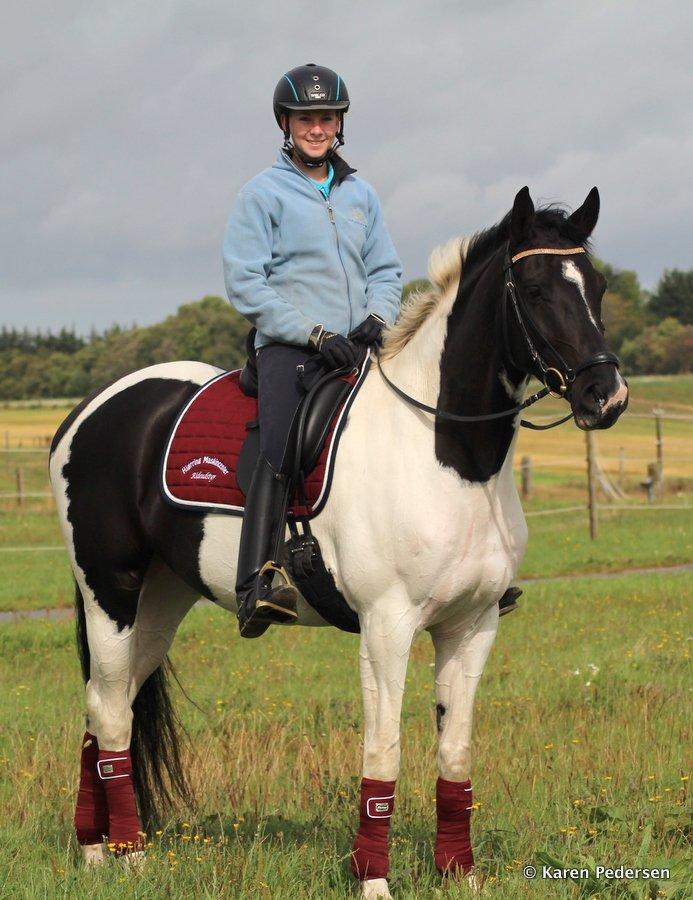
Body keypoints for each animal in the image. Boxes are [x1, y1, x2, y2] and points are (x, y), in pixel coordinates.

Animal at [48, 186, 628, 896]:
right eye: (539, 290)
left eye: (598, 286)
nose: (607, 396)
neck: (446, 454)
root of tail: (88, 411)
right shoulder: (386, 626)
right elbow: (384, 750)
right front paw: (373, 880)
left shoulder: (472, 624)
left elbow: (456, 752)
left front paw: (459, 874)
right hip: (110, 589)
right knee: (107, 709)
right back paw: (126, 854)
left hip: (159, 602)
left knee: (111, 706)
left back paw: (94, 846)